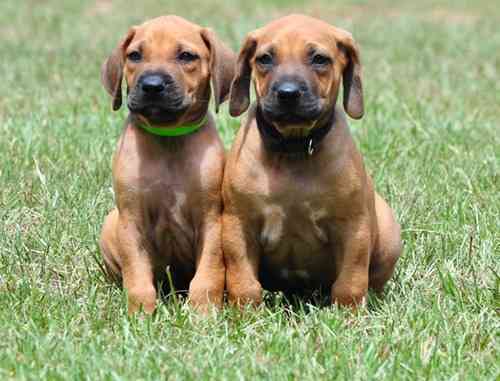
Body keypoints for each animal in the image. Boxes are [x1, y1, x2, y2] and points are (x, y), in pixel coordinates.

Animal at [99, 15, 236, 312]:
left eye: (186, 56)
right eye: (135, 55)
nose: (152, 85)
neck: (169, 140)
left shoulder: (212, 221)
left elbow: (208, 275)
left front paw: (203, 313)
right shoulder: (131, 221)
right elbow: (137, 275)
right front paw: (140, 314)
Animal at [223, 14, 402, 308]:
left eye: (319, 59)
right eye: (265, 59)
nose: (288, 93)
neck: (294, 149)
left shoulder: (354, 227)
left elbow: (350, 282)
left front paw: (349, 315)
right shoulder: (238, 225)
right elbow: (244, 282)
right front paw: (246, 313)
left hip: (387, 235)